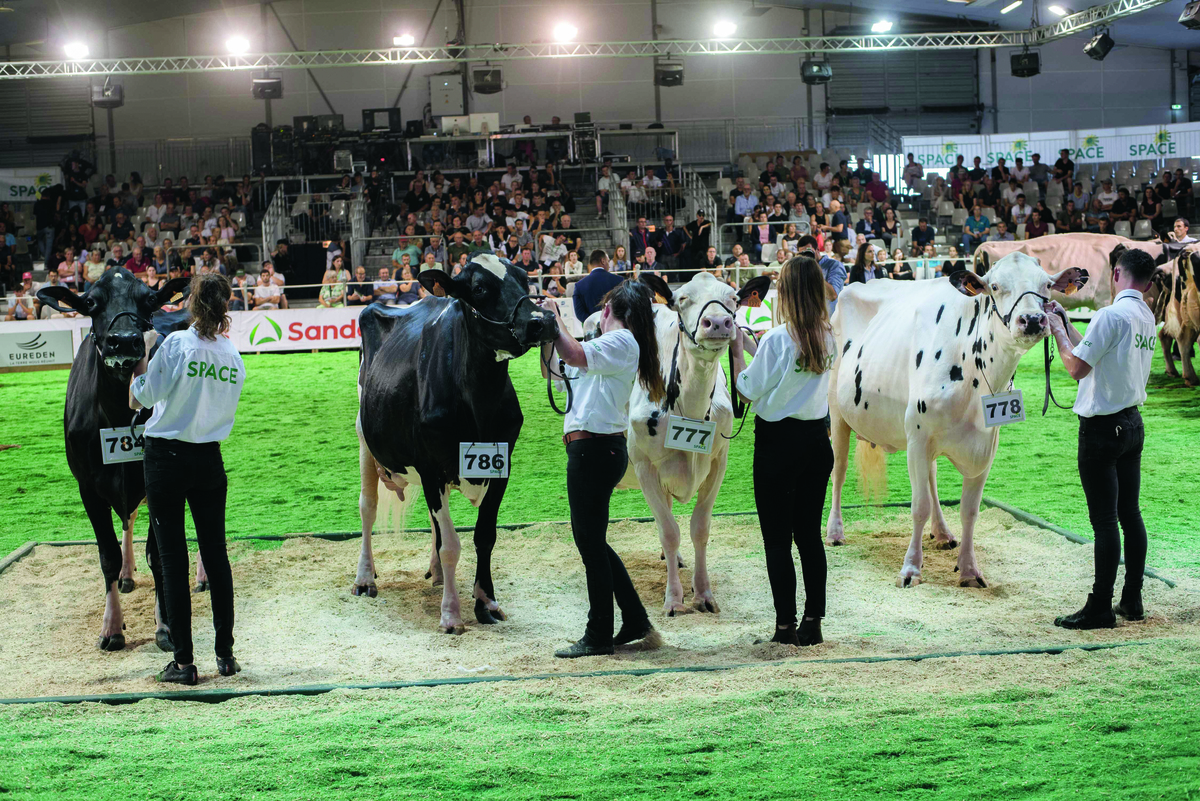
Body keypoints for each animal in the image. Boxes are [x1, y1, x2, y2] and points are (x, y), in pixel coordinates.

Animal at [36, 268, 189, 652]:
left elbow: (159, 555)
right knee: (129, 518)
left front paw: (165, 626)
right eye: (91, 302)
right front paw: (112, 627)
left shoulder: (159, 477)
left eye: (149, 299)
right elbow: (107, 555)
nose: (124, 341)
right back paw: (126, 575)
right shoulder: (88, 487)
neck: (119, 411)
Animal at [350, 255, 556, 633]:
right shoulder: (431, 468)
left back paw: (434, 574)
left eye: (524, 277)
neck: (479, 399)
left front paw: (486, 602)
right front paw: (451, 615)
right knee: (367, 508)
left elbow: (483, 536)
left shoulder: (501, 465)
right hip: (364, 439)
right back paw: (365, 578)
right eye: (479, 288)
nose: (542, 320)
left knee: (433, 527)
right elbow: (451, 545)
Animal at [583, 272, 739, 618]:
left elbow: (699, 528)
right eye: (683, 298)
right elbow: (669, 531)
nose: (717, 322)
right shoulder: (644, 466)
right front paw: (674, 599)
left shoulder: (718, 462)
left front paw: (703, 593)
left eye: (734, 298)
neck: (691, 408)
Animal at [825, 255, 1089, 587]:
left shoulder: (985, 446)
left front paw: (969, 570)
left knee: (932, 476)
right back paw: (835, 532)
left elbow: (969, 511)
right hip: (837, 411)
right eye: (994, 286)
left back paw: (942, 532)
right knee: (839, 469)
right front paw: (910, 569)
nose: (1031, 319)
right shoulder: (917, 437)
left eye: (1047, 285)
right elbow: (918, 506)